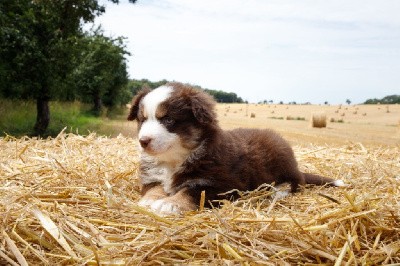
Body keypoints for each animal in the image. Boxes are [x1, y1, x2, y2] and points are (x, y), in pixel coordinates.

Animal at [127, 82, 344, 215]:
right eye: (142, 120)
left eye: (169, 120)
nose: (143, 141)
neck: (175, 159)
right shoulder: (153, 176)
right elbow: (155, 187)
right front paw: (150, 200)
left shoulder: (222, 184)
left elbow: (191, 191)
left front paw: (169, 203)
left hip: (283, 163)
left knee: (296, 182)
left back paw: (277, 192)